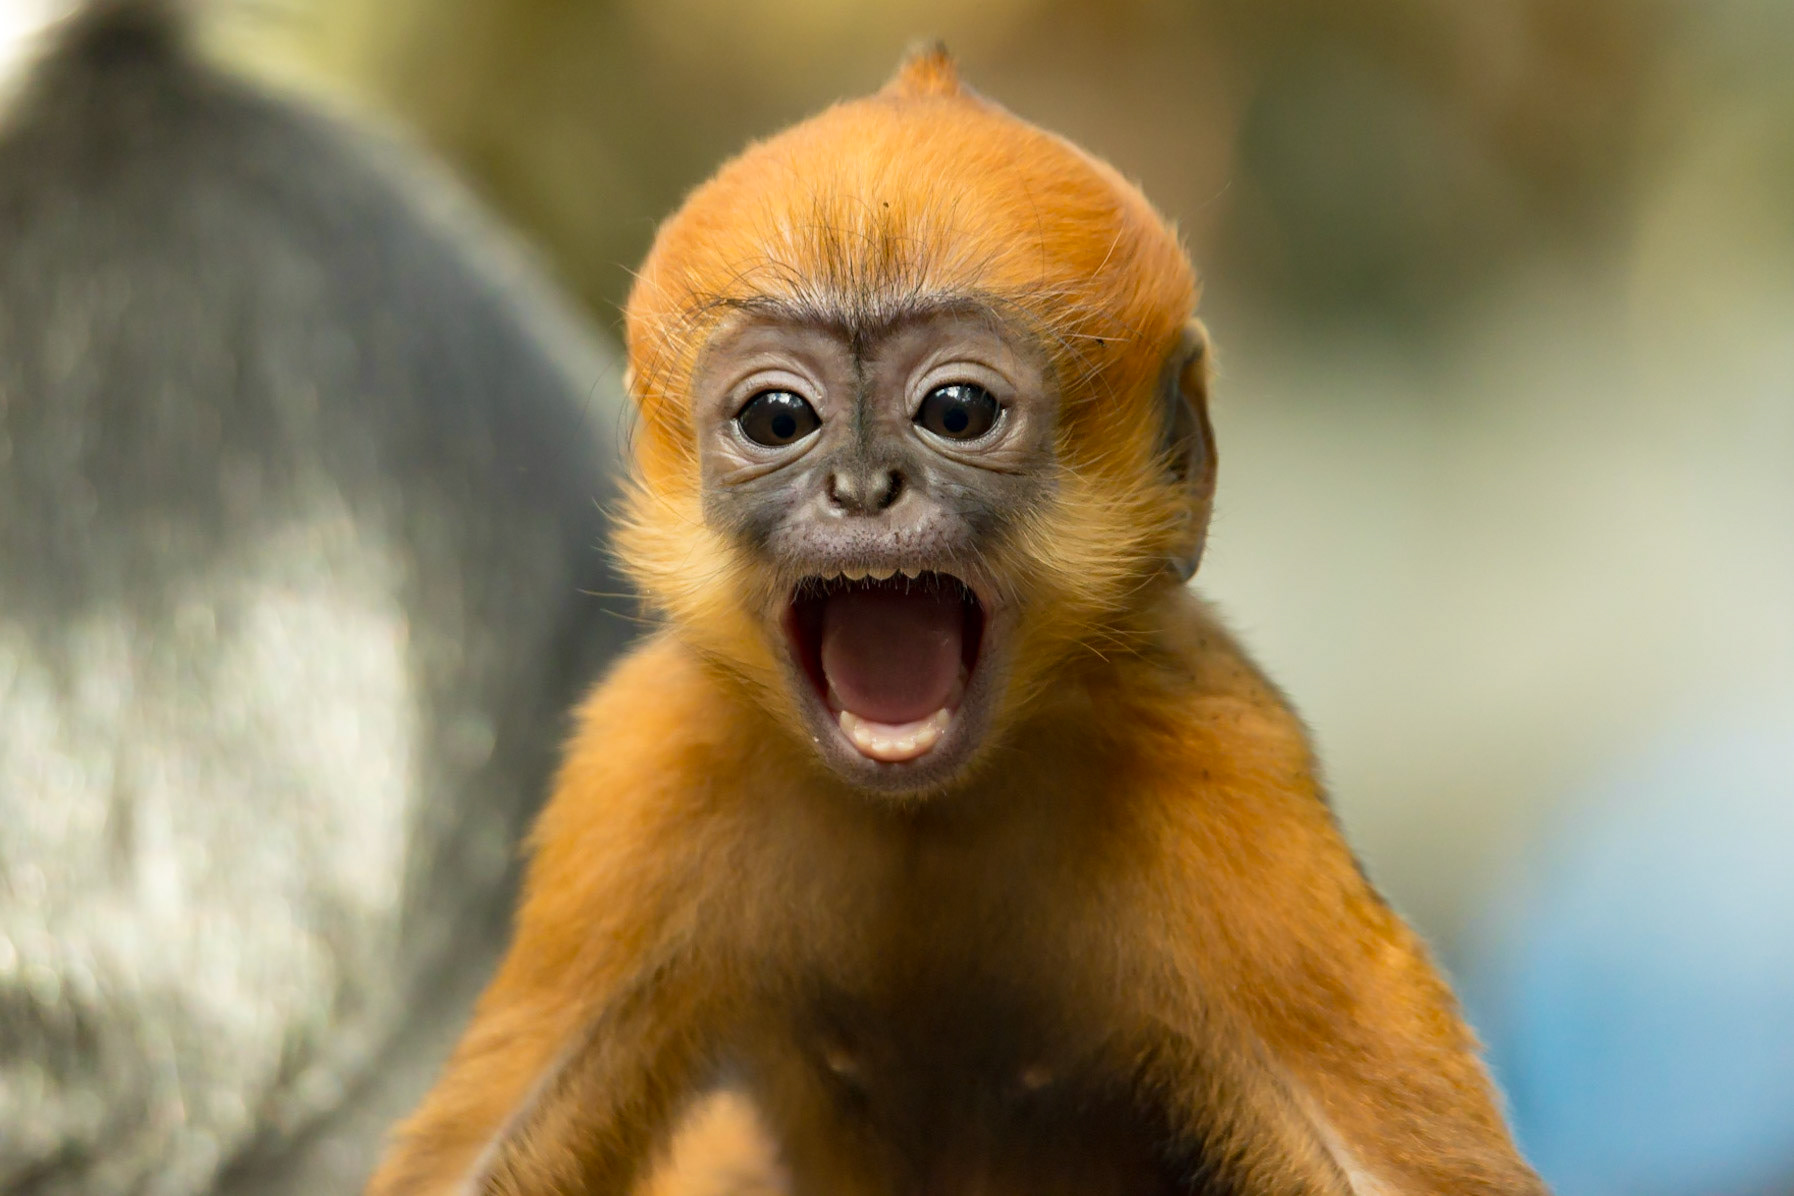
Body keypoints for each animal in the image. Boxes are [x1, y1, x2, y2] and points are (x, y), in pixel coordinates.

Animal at [368, 48, 1547, 1196]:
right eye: (778, 419)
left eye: (956, 411)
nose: (861, 487)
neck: (925, 813)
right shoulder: (647, 758)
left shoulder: (1226, 754)